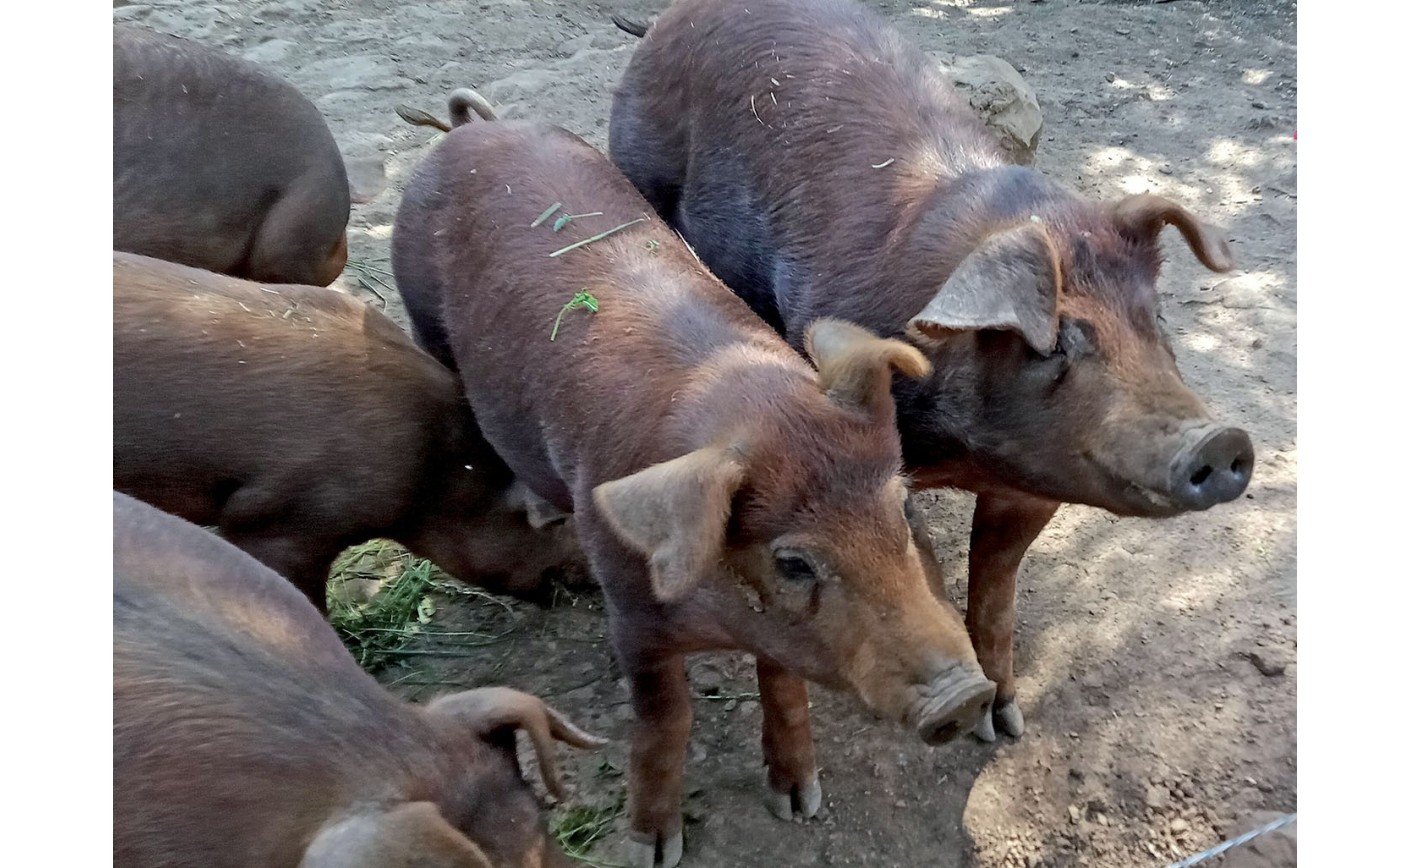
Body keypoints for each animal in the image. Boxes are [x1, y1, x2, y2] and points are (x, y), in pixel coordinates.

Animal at [391, 95, 995, 868]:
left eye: (900, 506)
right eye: (792, 561)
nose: (967, 694)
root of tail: (470, 129)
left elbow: (784, 688)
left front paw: (800, 802)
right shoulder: (632, 615)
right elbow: (665, 717)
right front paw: (653, 847)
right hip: (423, 318)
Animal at [608, 0, 1256, 741]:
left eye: (1158, 321)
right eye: (1055, 343)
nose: (1219, 440)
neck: (974, 455)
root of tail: (666, 22)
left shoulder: (1038, 484)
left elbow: (997, 591)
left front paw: (1007, 725)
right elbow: (929, 570)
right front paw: (975, 715)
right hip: (639, 162)